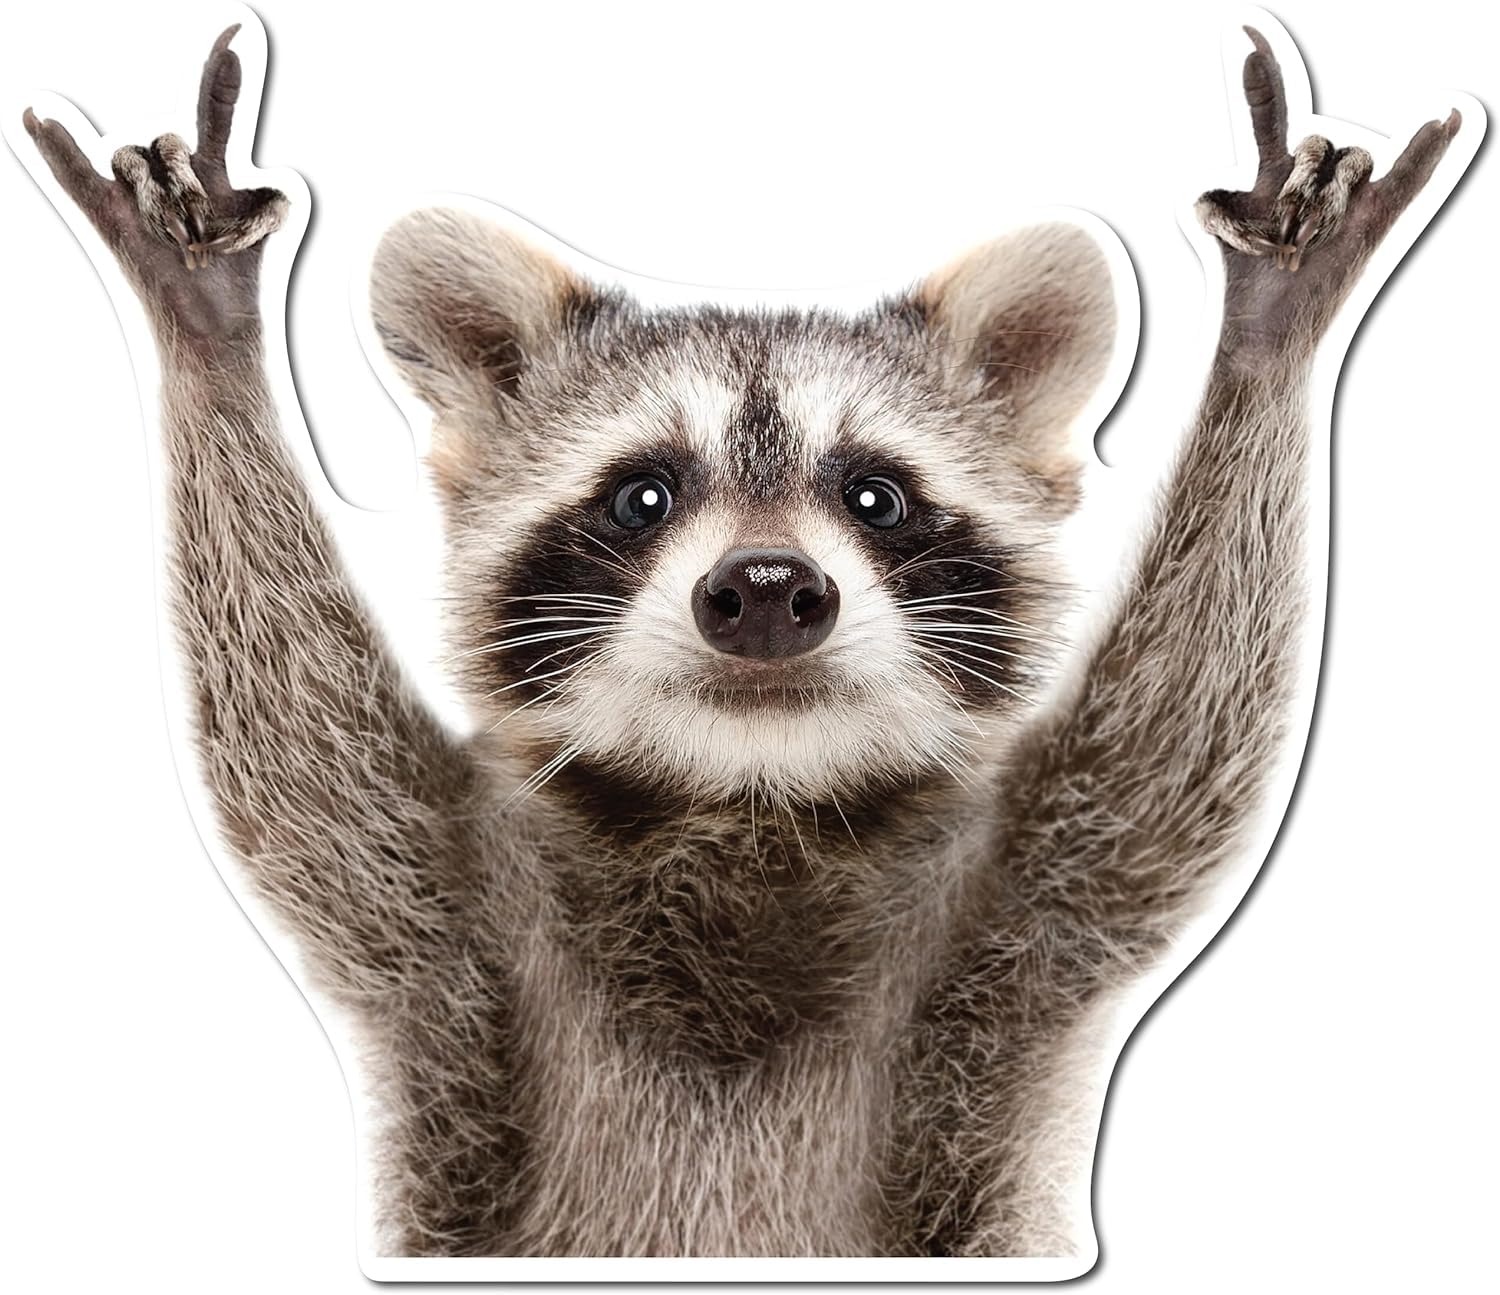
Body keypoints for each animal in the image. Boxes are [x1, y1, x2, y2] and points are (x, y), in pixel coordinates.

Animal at [21, 20, 1467, 1260]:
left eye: (875, 495)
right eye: (643, 495)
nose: (768, 588)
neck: (747, 795)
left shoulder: (1023, 911)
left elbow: (1175, 749)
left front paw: (1269, 337)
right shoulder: (448, 913)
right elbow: (295, 748)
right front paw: (208, 337)